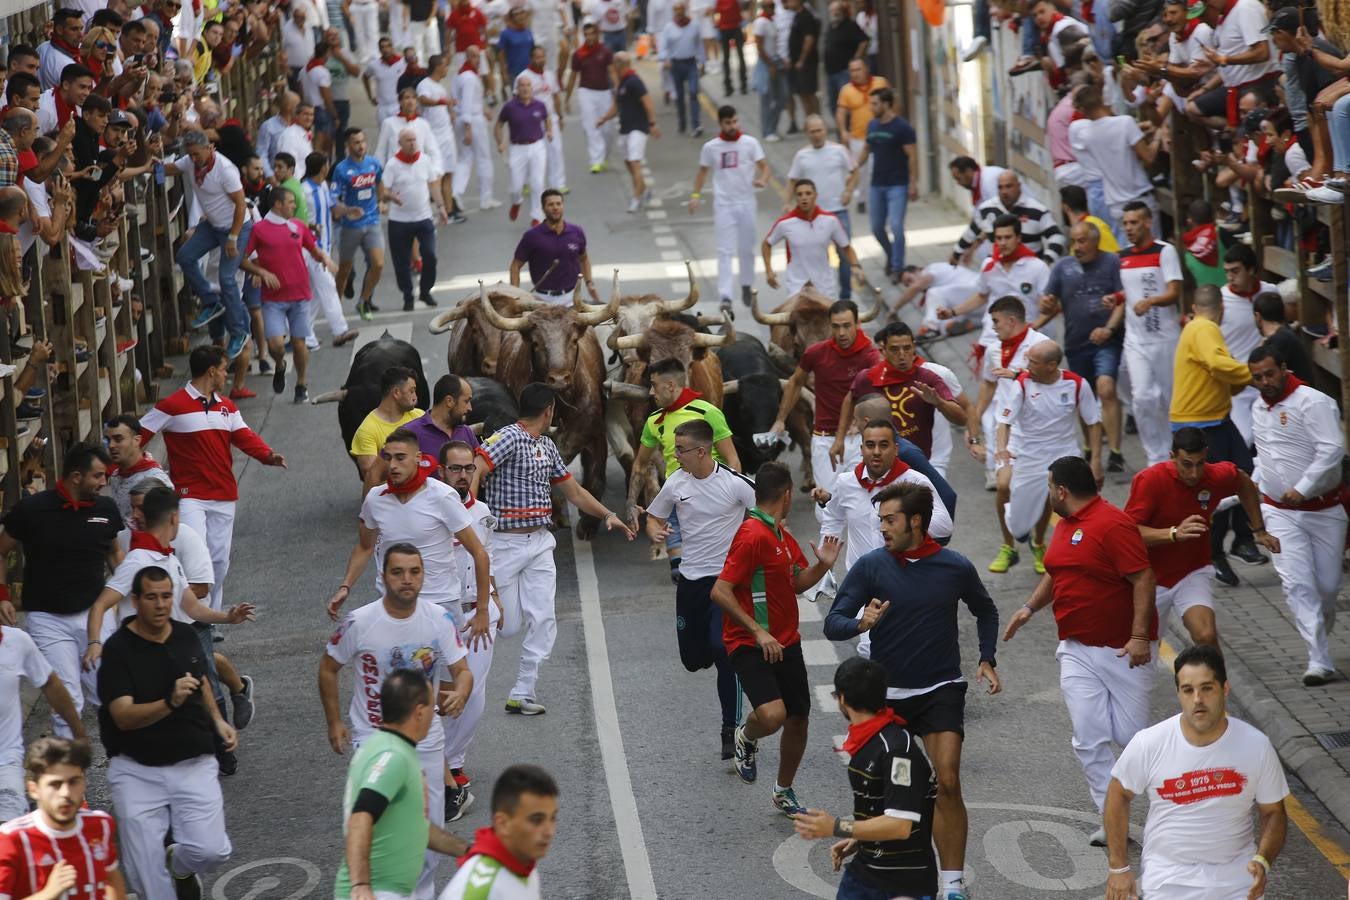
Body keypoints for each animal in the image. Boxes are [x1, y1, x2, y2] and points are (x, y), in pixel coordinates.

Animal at [477, 277, 618, 539]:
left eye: (573, 340)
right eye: (535, 342)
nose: (559, 378)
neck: (560, 409)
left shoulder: (596, 437)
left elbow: (595, 480)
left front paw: (588, 525)